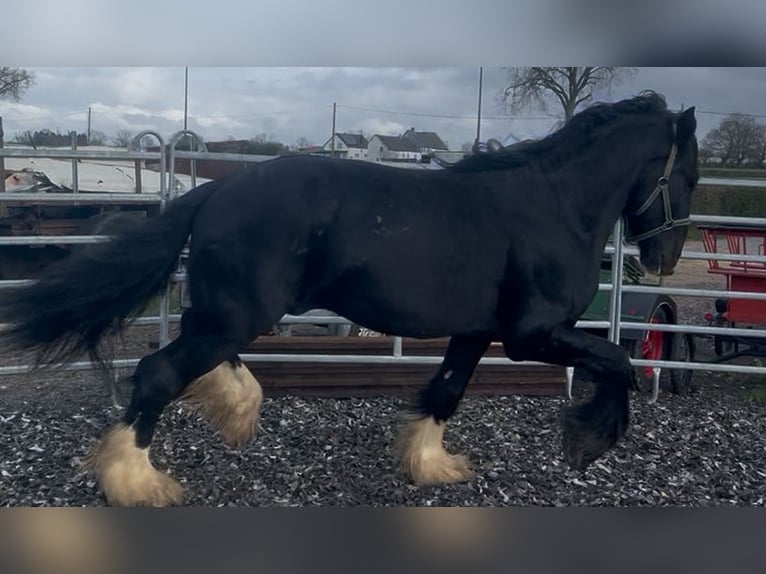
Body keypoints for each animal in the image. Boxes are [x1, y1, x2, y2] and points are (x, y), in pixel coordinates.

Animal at [0, 91, 699, 506]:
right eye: (689, 173)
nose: (662, 261)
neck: (553, 206)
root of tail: (218, 189)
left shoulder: (477, 331)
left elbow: (446, 391)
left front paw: (430, 466)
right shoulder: (534, 335)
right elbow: (620, 362)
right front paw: (589, 443)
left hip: (226, 311)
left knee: (200, 361)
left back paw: (234, 411)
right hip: (237, 314)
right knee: (156, 373)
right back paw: (138, 482)